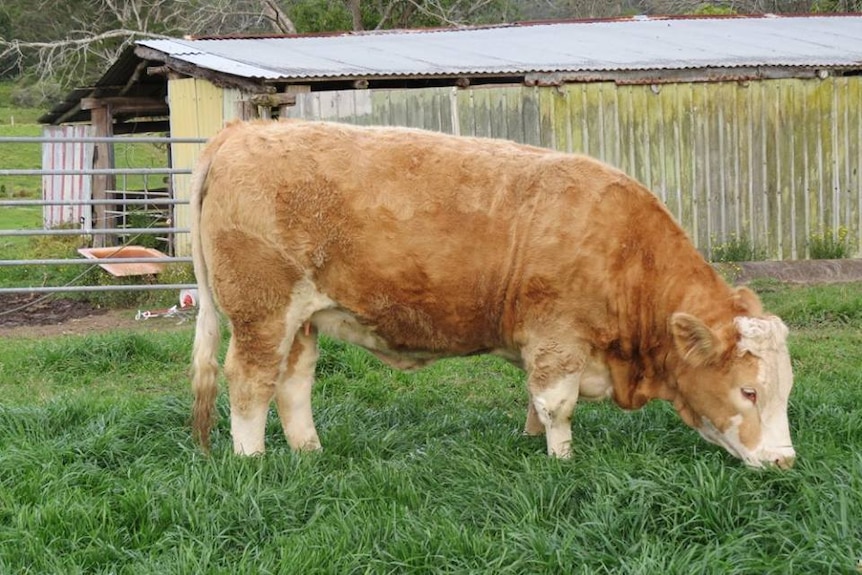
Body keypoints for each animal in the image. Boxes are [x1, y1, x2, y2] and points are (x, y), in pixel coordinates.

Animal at [189, 120, 796, 468]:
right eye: (748, 391)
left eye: (785, 390)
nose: (786, 460)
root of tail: (241, 129)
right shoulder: (559, 335)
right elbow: (558, 405)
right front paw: (561, 464)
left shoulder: (544, 345)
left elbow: (535, 401)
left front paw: (530, 444)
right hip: (262, 309)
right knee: (250, 381)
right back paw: (252, 462)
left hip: (302, 318)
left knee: (292, 383)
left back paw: (310, 453)